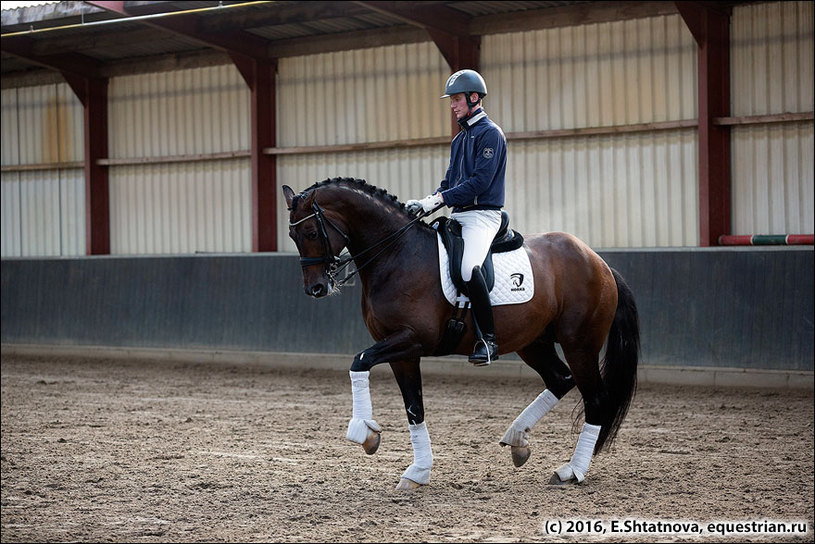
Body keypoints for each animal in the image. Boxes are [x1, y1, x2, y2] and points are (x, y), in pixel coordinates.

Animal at [284, 177, 640, 488]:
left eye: (312, 231)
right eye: (293, 236)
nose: (316, 288)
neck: (397, 254)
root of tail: (599, 263)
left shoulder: (412, 340)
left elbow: (358, 361)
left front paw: (363, 431)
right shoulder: (402, 352)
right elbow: (414, 408)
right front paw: (418, 471)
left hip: (579, 344)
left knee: (596, 400)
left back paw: (571, 472)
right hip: (534, 343)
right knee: (560, 380)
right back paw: (518, 439)